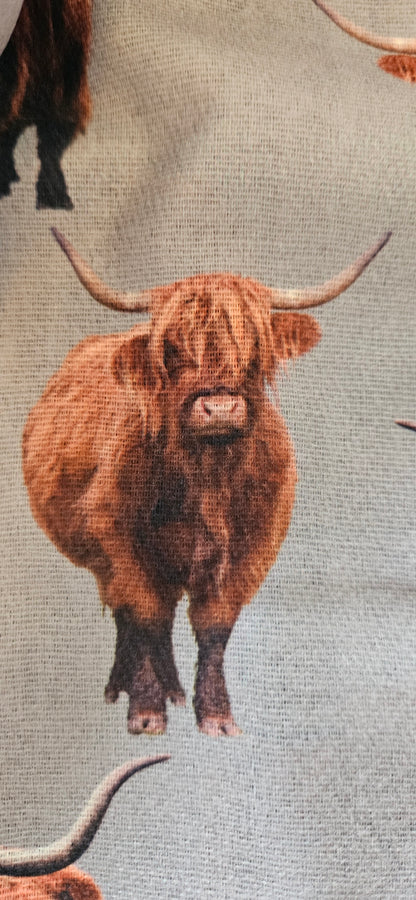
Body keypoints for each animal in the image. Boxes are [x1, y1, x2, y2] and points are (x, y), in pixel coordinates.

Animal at [22, 228, 391, 737]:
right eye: (173, 350)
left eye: (254, 348)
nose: (219, 409)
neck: (207, 478)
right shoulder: (121, 540)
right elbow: (144, 614)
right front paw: (146, 712)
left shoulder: (251, 550)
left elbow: (214, 624)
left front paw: (215, 716)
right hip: (102, 557)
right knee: (130, 615)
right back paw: (126, 689)